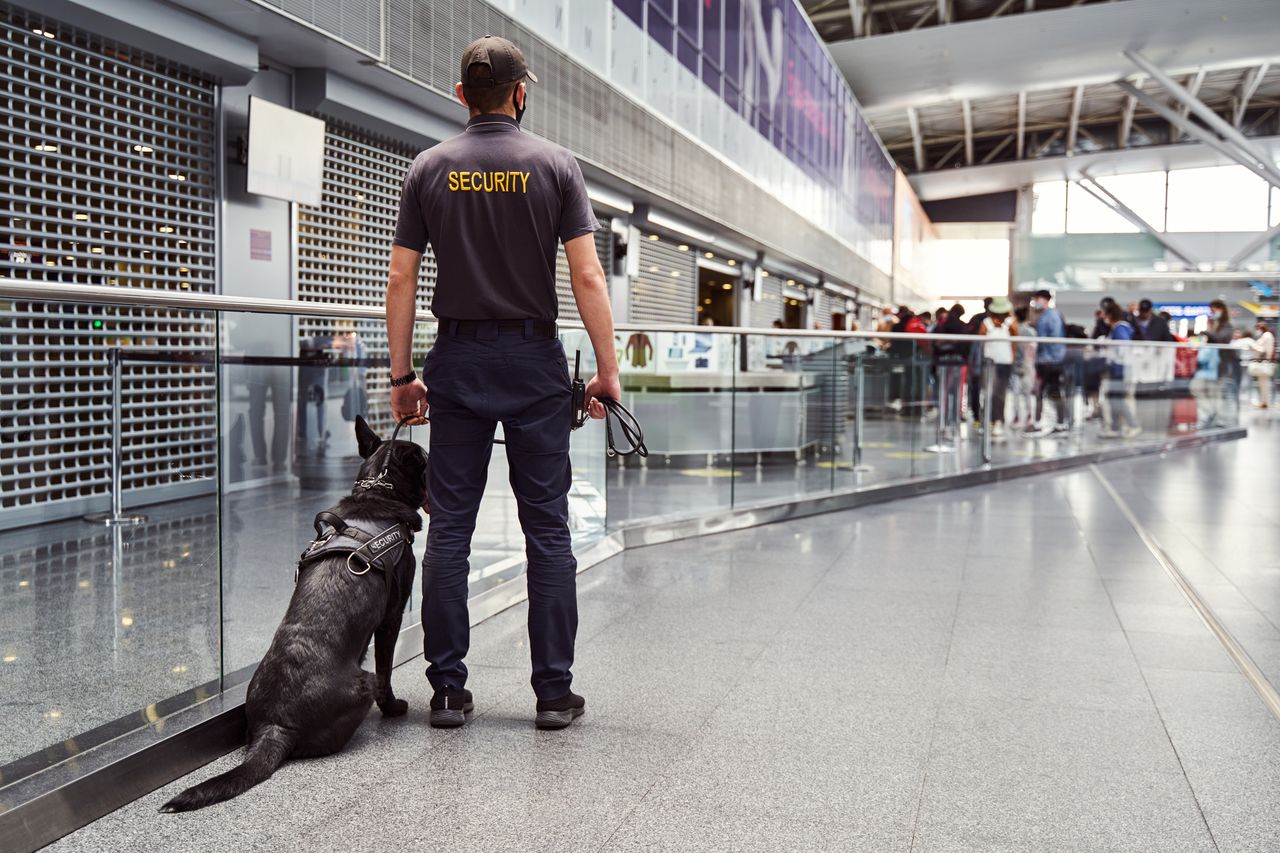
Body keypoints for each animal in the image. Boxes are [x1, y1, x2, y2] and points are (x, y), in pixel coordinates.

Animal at [161, 417, 424, 809]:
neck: (379, 492)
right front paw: (392, 707)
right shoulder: (392, 617)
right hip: (362, 683)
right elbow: (386, 670)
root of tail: (276, 727)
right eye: (426, 461)